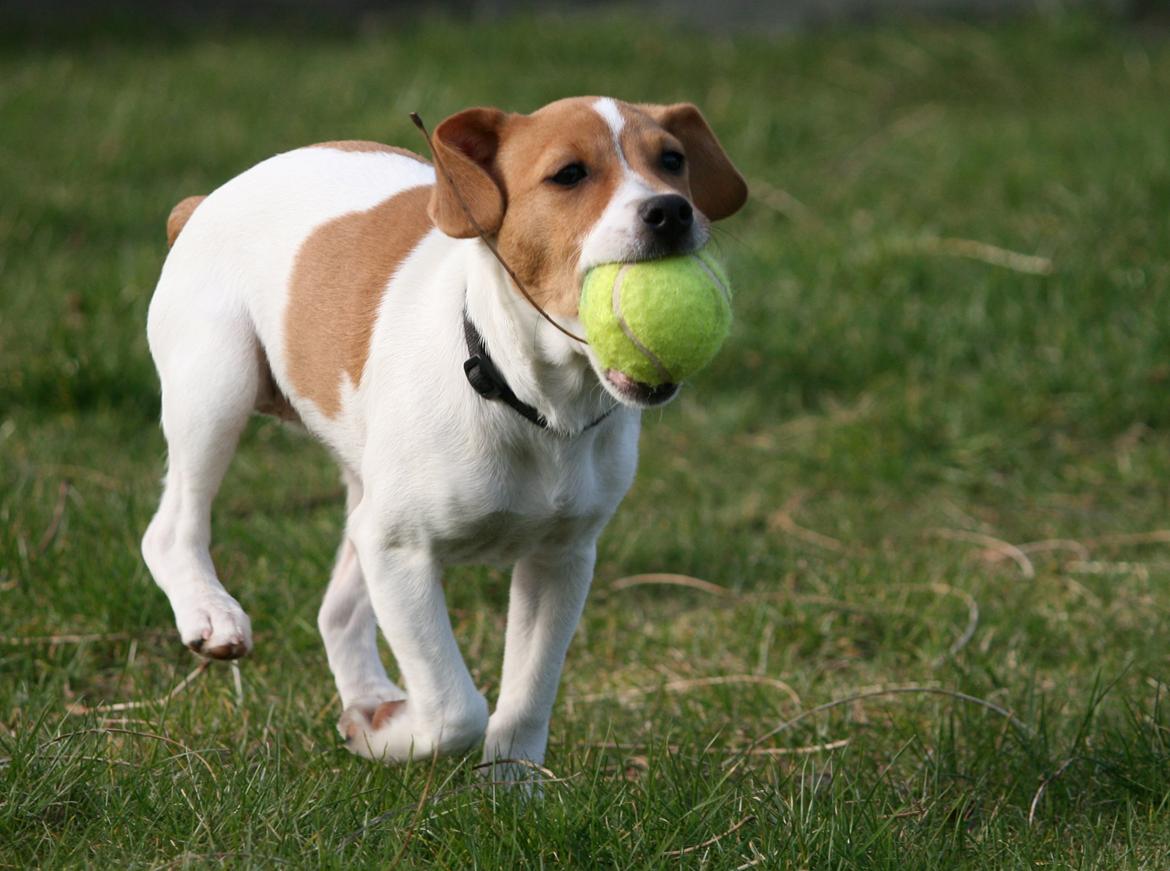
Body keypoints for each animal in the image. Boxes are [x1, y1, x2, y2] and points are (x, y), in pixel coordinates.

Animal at [141, 97, 744, 767]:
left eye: (673, 161)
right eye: (569, 175)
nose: (670, 210)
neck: (528, 399)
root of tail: (205, 201)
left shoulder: (559, 560)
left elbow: (526, 701)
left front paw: (503, 782)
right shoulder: (399, 552)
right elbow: (457, 709)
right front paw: (399, 736)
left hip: (363, 486)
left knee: (337, 611)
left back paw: (369, 700)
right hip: (215, 384)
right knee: (172, 525)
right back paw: (211, 613)